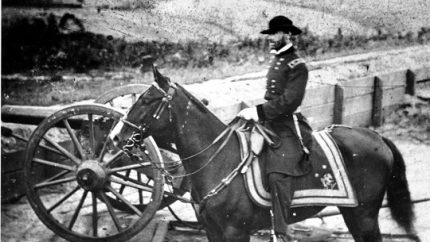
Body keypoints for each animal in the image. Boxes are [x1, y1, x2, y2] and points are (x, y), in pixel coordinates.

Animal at [113, 68, 416, 242]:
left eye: (146, 100)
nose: (115, 136)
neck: (220, 161)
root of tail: (377, 137)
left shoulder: (235, 232)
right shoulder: (212, 231)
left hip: (363, 216)